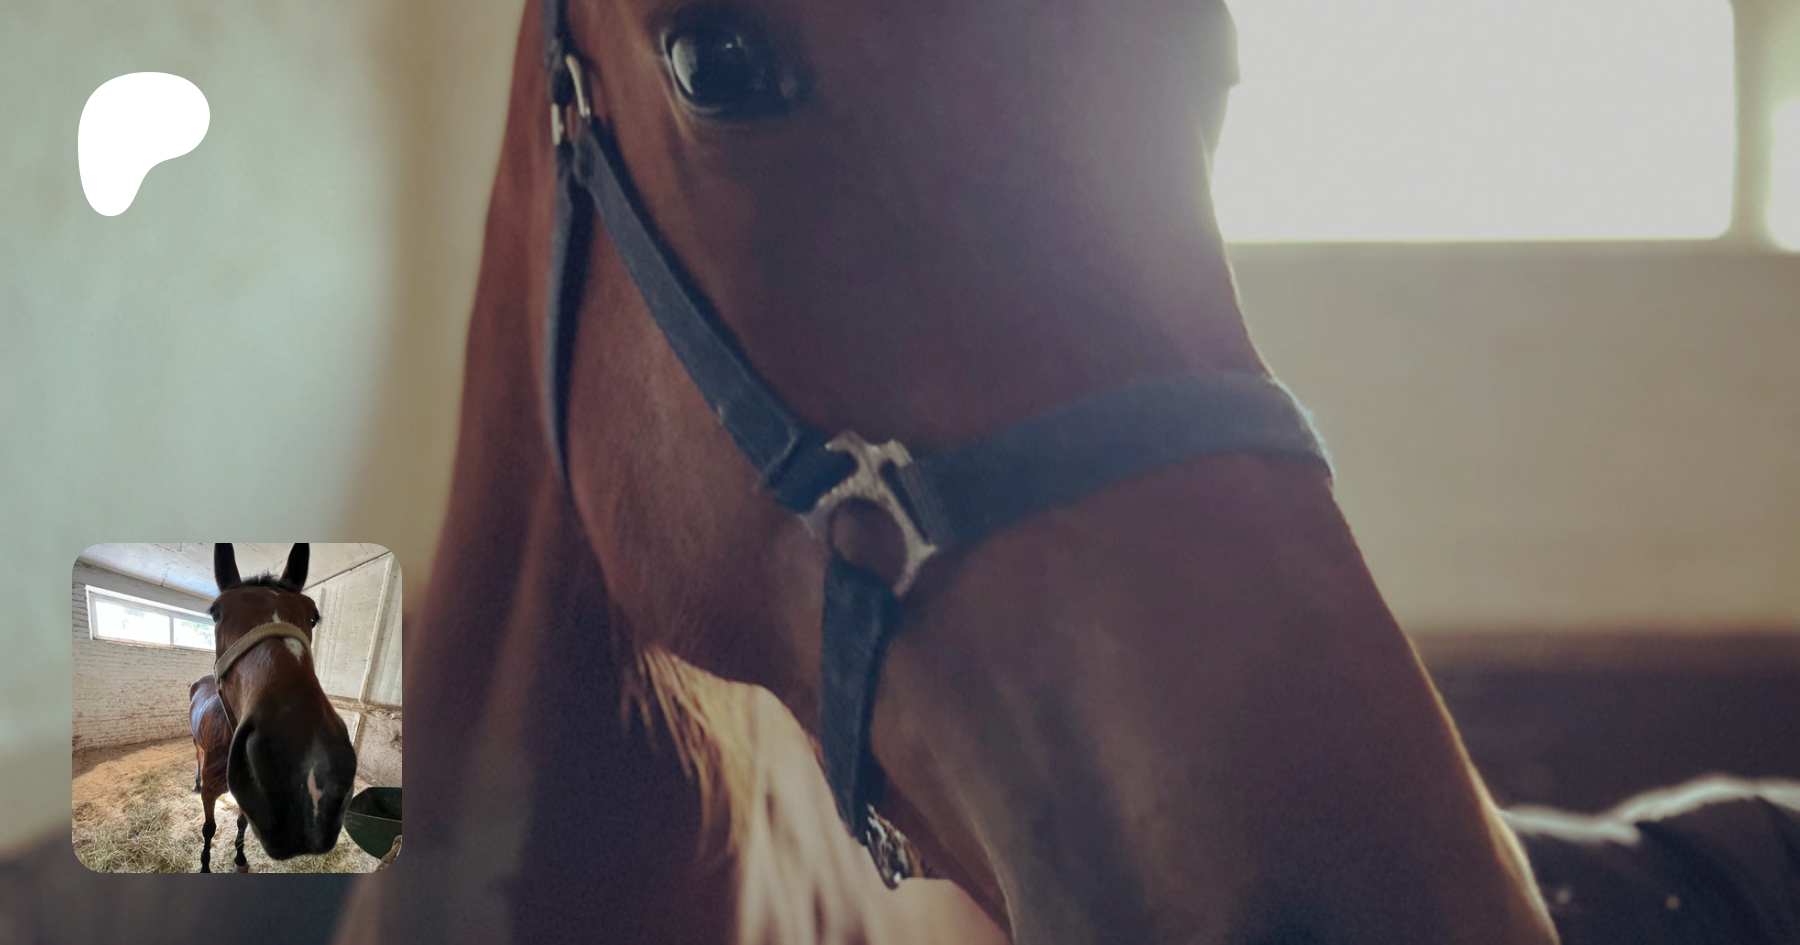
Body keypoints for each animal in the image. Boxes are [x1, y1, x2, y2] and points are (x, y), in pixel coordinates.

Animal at [193, 543, 358, 872]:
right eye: (216, 612)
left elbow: (242, 824)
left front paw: (240, 858)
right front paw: (204, 866)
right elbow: (209, 829)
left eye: (312, 616)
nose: (304, 770)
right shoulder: (210, 795)